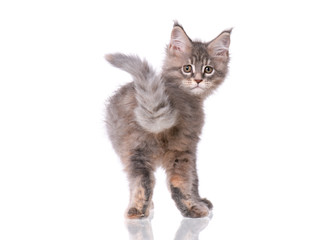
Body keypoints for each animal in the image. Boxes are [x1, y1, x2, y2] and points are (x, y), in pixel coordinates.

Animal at [105, 23, 231, 219]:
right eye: (187, 68)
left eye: (208, 69)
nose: (198, 80)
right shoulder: (191, 145)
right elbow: (194, 179)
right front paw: (200, 201)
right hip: (179, 149)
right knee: (178, 181)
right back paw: (193, 209)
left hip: (134, 148)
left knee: (142, 180)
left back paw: (137, 211)